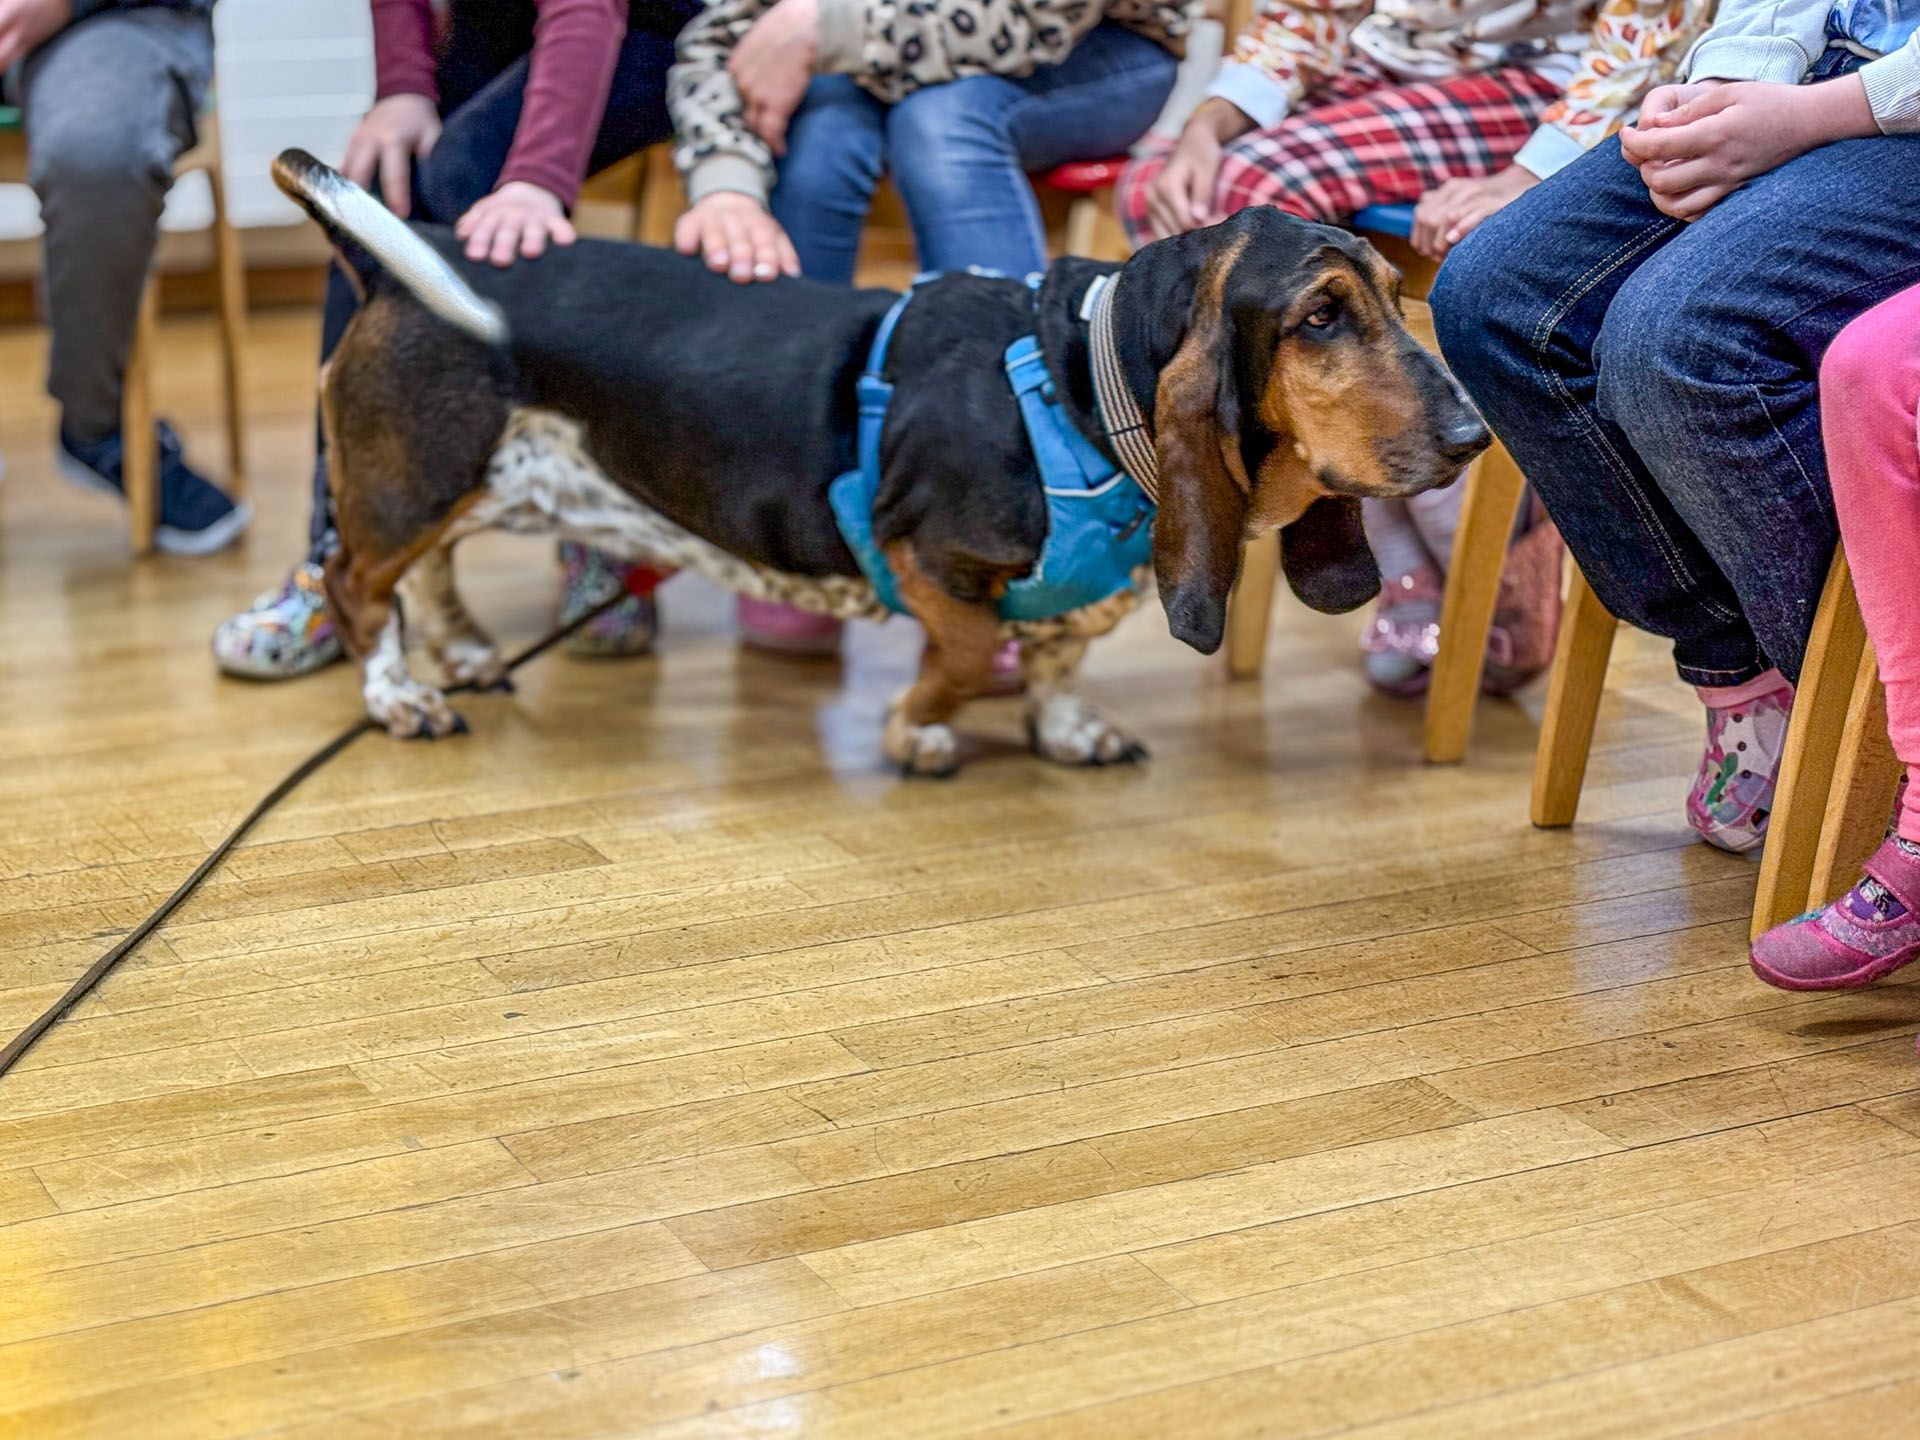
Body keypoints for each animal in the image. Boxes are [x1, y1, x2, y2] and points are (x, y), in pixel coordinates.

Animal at [273, 149, 1488, 775]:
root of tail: (414, 255)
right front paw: (919, 729)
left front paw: (1067, 730)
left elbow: (1059, 660)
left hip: (464, 479)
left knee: (430, 571)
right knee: (358, 584)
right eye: (1321, 317)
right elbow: (967, 653)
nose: (1477, 437)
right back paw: (399, 695)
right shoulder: (926, 557)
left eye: (1396, 296)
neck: (1077, 382)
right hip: (412, 478)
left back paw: (466, 651)